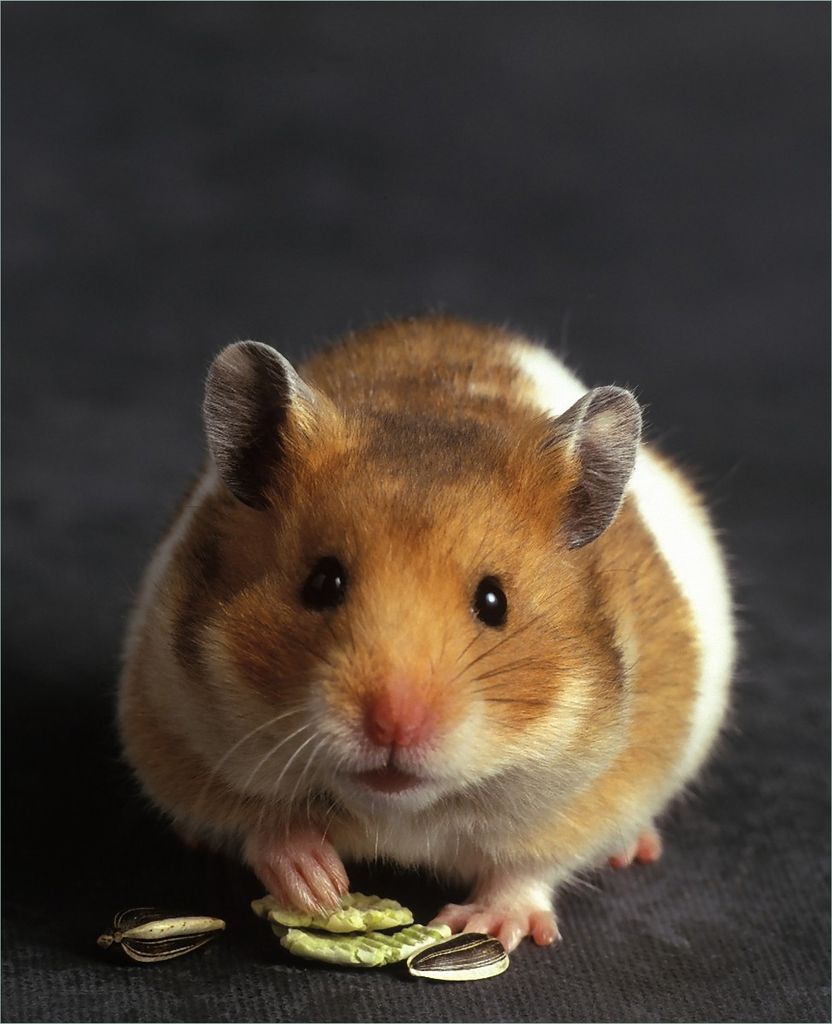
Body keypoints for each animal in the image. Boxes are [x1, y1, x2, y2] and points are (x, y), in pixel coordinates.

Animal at [118, 315, 735, 951]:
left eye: (494, 601)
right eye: (322, 582)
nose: (394, 725)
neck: (400, 808)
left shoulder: (596, 791)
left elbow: (528, 868)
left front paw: (483, 926)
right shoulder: (173, 726)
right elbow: (258, 822)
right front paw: (318, 886)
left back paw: (635, 849)